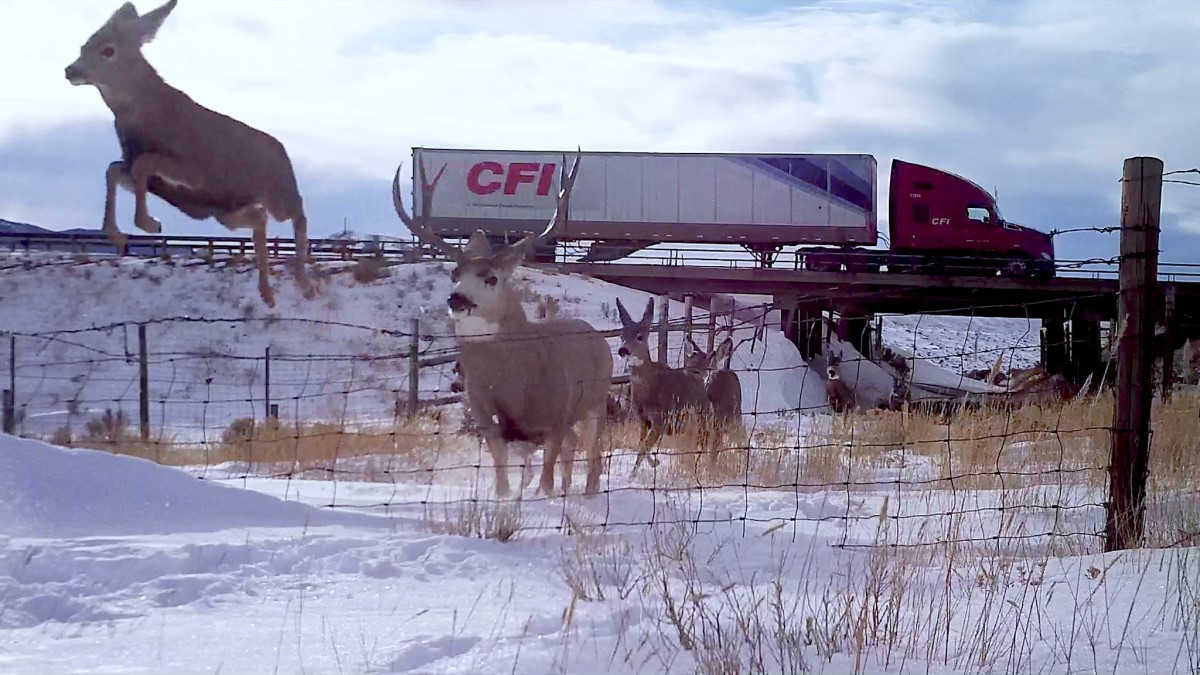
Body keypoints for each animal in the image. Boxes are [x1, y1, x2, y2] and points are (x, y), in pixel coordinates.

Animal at [66, 0, 312, 305]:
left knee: (297, 210)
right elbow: (113, 169)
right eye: (82, 46)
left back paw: (303, 281)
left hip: (275, 194)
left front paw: (149, 223)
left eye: (108, 50)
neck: (146, 113)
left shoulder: (194, 167)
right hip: (226, 212)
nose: (70, 70)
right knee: (260, 218)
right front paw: (117, 235)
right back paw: (267, 292)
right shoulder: (136, 165)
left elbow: (144, 163)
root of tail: (284, 153)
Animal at [393, 152, 614, 497]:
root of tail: (598, 336)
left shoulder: (555, 416)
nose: (456, 299)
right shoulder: (487, 419)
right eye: (454, 274)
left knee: (593, 454)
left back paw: (589, 492)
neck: (515, 383)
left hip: (597, 399)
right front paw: (507, 495)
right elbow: (502, 479)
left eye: (491, 278)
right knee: (575, 447)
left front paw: (545, 495)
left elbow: (546, 480)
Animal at [614, 296, 715, 470]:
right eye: (622, 336)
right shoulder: (642, 419)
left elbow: (643, 448)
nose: (623, 350)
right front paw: (655, 462)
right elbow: (641, 445)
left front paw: (636, 473)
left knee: (702, 443)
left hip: (701, 418)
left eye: (640, 336)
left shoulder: (661, 419)